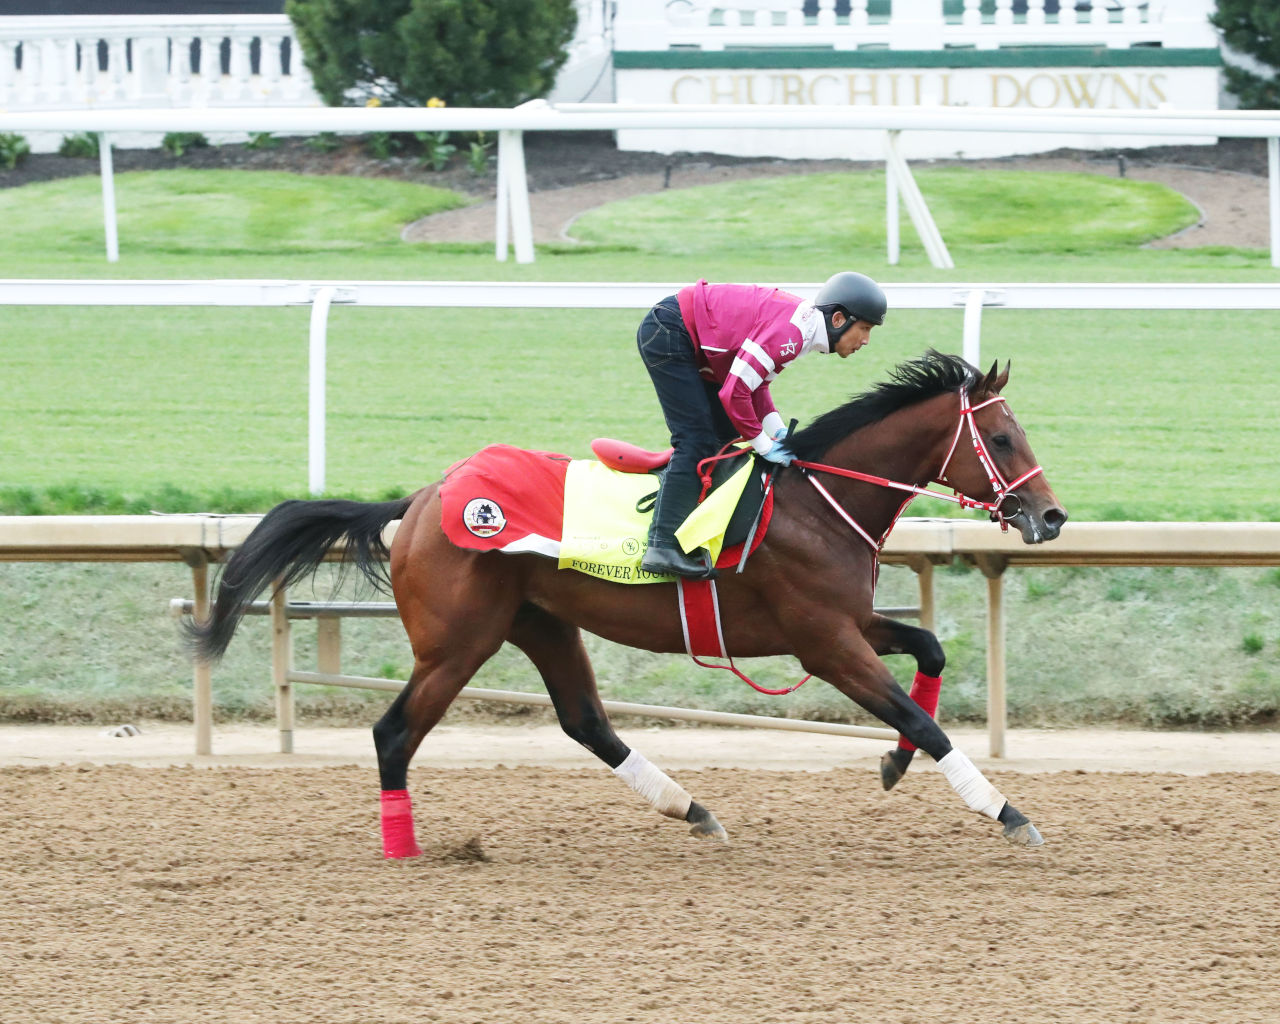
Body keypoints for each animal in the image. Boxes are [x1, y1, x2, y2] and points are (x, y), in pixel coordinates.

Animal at [189, 350, 1064, 855]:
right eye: (1004, 439)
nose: (1051, 517)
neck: (816, 502)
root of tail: (426, 495)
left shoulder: (847, 625)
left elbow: (930, 654)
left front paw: (893, 763)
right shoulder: (823, 640)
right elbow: (921, 715)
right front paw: (1007, 812)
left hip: (540, 624)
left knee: (586, 722)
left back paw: (692, 808)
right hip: (457, 641)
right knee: (394, 731)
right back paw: (402, 847)